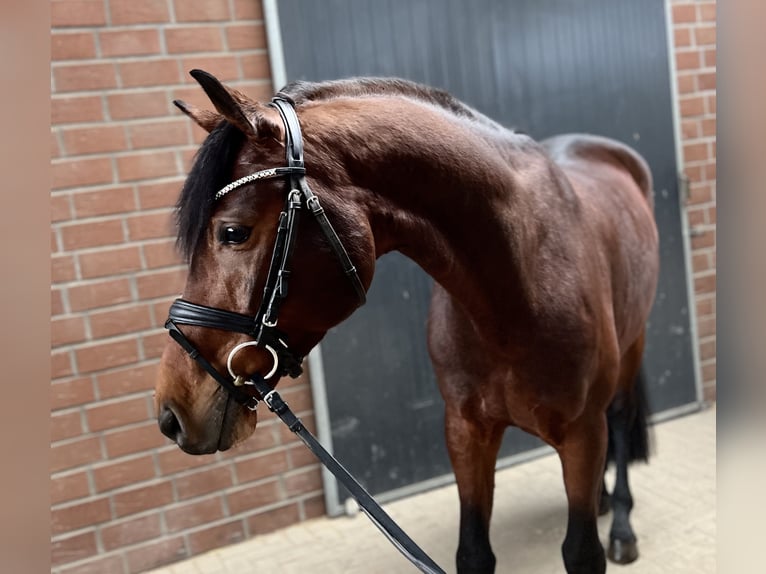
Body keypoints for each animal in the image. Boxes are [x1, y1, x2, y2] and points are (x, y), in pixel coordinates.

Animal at [156, 72, 660, 574]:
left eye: (232, 232)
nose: (171, 414)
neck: (518, 290)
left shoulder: (582, 434)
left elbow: (582, 552)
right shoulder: (465, 431)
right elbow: (473, 552)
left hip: (632, 349)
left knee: (620, 419)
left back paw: (621, 525)